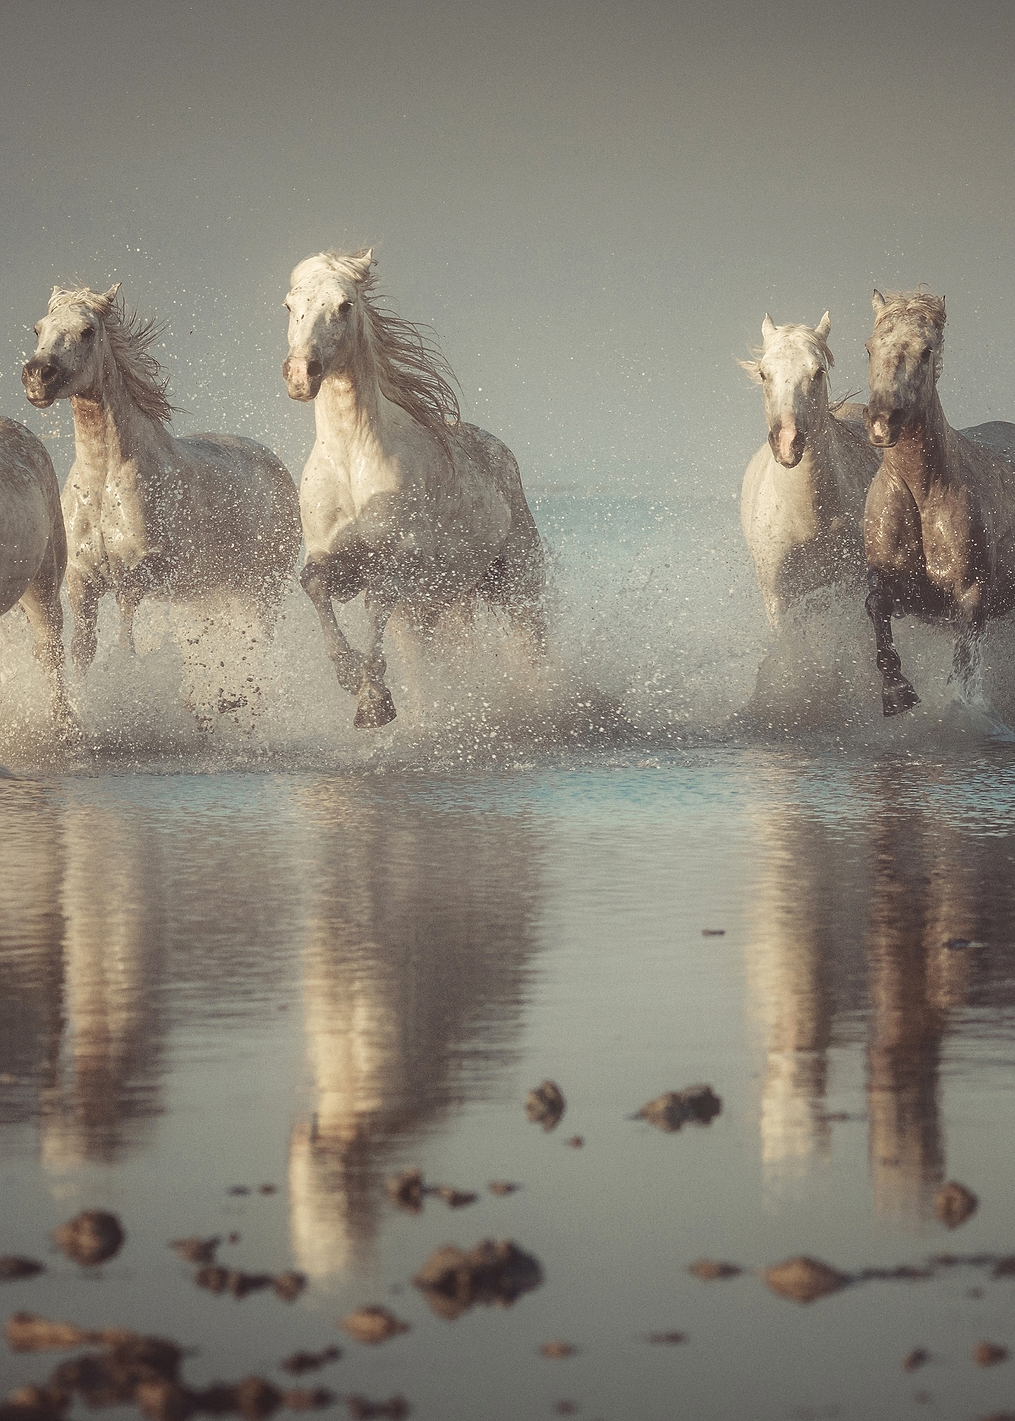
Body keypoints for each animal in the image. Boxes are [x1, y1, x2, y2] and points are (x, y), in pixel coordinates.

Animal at [22, 285, 301, 677]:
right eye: (38, 329)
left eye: (87, 331)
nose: (37, 375)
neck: (104, 482)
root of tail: (277, 467)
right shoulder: (82, 581)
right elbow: (83, 650)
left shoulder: (138, 576)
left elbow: (126, 643)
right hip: (212, 594)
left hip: (262, 591)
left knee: (258, 643)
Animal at [282, 248, 545, 729]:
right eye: (290, 306)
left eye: (344, 305)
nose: (300, 374)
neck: (352, 464)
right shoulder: (335, 558)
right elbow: (313, 583)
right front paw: (351, 677)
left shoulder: (400, 559)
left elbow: (378, 600)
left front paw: (373, 701)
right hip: (438, 604)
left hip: (517, 582)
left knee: (531, 645)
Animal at [740, 312, 880, 628]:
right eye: (764, 373)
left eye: (818, 372)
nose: (787, 442)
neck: (809, 518)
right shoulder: (778, 601)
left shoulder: (854, 588)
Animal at [863, 289, 1015, 716]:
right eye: (870, 348)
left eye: (926, 350)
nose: (882, 421)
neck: (923, 493)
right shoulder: (900, 587)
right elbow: (875, 605)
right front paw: (897, 693)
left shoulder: (972, 596)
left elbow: (963, 667)